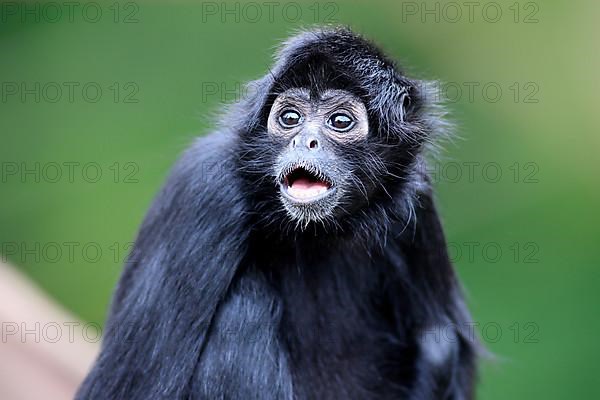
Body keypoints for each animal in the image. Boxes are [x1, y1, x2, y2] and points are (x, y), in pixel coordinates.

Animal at [76, 26, 478, 398]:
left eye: (340, 122)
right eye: (289, 118)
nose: (305, 140)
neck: (314, 232)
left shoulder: (418, 203)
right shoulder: (205, 186)